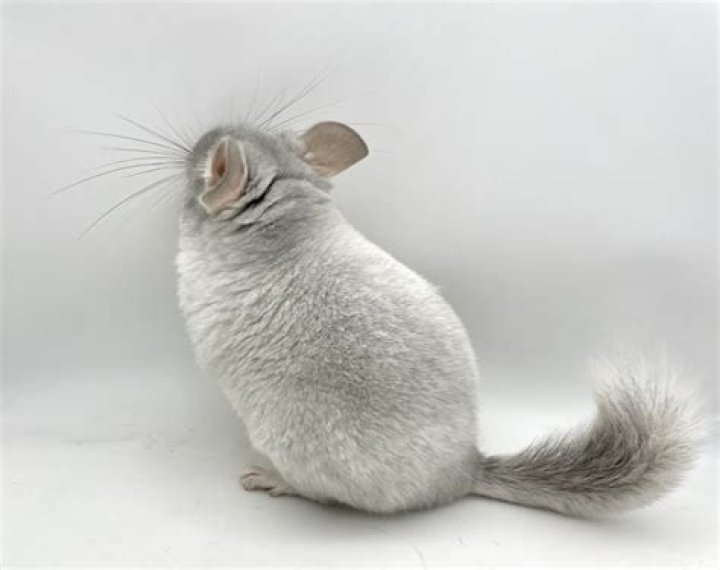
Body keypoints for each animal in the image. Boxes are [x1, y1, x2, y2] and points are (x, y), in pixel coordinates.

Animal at [175, 120, 702, 516]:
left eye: (205, 161)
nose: (198, 137)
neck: (287, 224)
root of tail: (463, 472)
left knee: (318, 493)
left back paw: (267, 478)